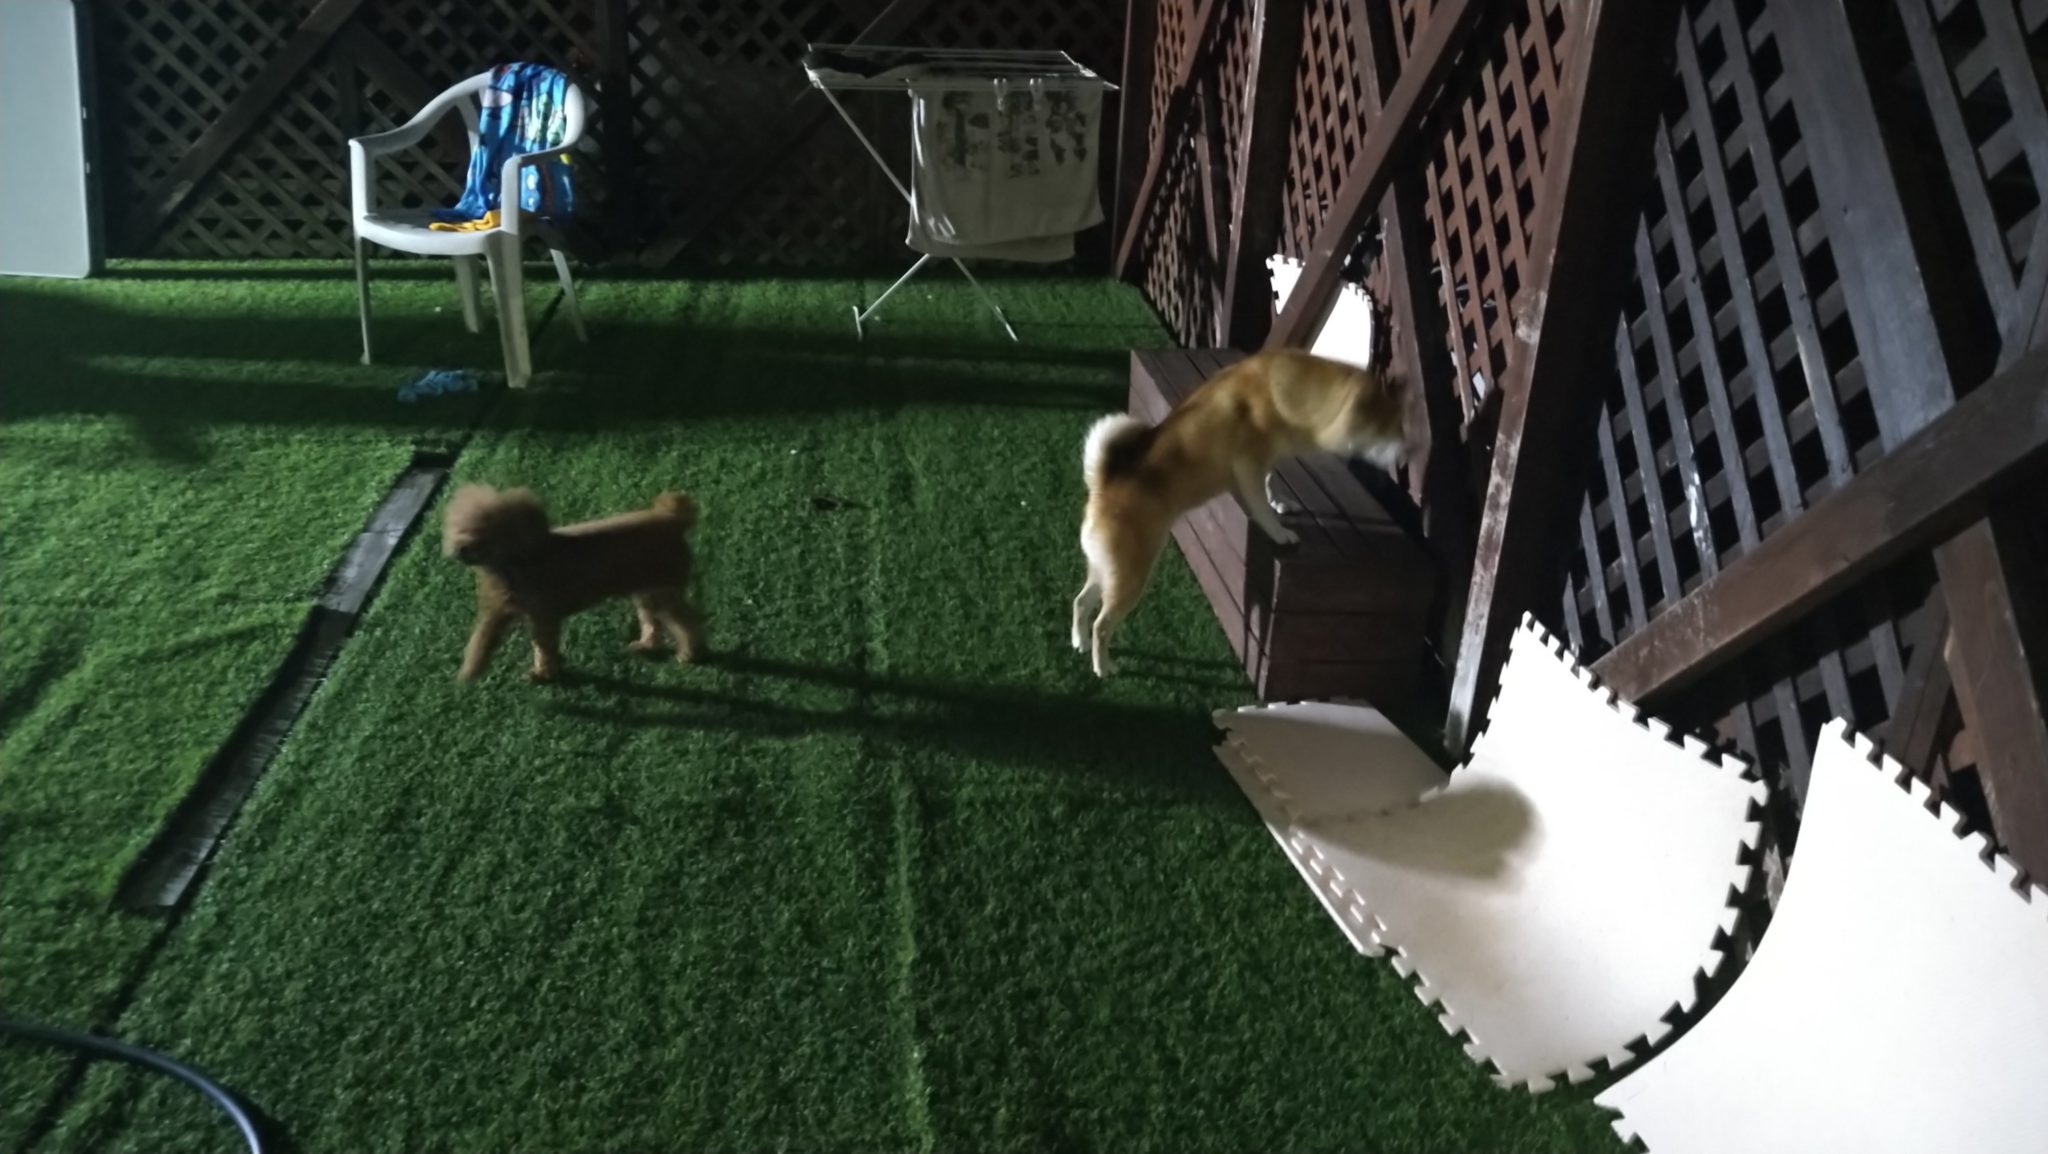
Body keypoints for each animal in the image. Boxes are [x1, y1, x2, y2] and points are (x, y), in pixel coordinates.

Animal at [442, 483, 704, 682]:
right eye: (460, 527)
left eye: (486, 533)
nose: (461, 548)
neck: (516, 563)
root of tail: (673, 519)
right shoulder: (499, 610)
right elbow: (481, 638)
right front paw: (470, 669)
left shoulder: (543, 616)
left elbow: (543, 647)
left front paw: (543, 673)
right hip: (645, 592)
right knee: (653, 620)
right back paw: (647, 645)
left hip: (664, 591)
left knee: (686, 622)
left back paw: (690, 652)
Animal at [1071, 349, 1407, 677]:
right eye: (1387, 432)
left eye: (1401, 429)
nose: (1406, 457)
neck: (1288, 398)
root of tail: (1102, 487)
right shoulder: (1248, 465)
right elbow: (1261, 506)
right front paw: (1279, 532)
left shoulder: (1267, 460)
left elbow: (1271, 481)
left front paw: (1280, 502)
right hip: (1131, 577)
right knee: (1102, 625)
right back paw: (1103, 666)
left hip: (1106, 571)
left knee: (1080, 603)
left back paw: (1079, 641)